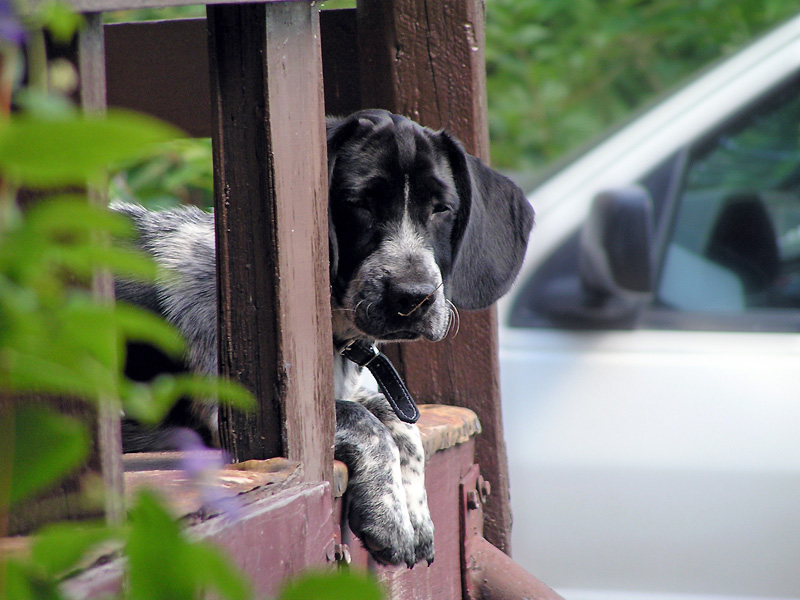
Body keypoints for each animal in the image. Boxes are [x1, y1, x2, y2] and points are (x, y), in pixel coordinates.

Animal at [112, 109, 536, 568]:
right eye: (359, 204)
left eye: (442, 209)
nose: (413, 297)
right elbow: (364, 421)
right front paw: (389, 514)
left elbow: (399, 423)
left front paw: (415, 511)